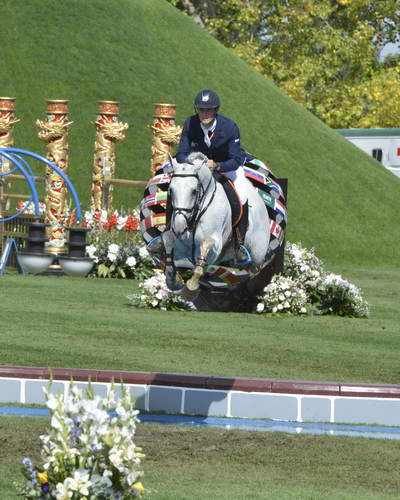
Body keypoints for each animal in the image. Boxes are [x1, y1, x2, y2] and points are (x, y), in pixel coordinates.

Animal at [161, 152, 270, 300]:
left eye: (194, 191)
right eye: (171, 190)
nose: (179, 227)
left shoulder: (215, 246)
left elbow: (204, 247)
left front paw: (191, 288)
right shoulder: (179, 242)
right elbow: (167, 240)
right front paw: (173, 280)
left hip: (256, 257)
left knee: (252, 273)